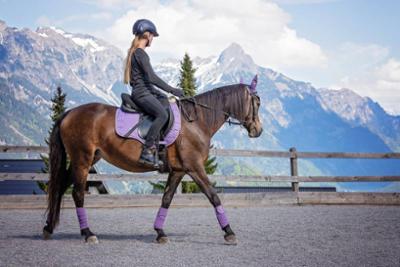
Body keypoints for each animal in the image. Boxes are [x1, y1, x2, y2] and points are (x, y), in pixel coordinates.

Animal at [43, 81, 262, 245]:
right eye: (257, 103)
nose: (258, 131)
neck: (196, 121)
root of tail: (69, 113)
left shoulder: (179, 170)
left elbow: (166, 199)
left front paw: (160, 232)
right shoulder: (195, 168)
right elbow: (213, 196)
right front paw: (229, 232)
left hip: (86, 159)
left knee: (60, 187)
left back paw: (49, 228)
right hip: (82, 159)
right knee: (77, 193)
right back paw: (88, 233)